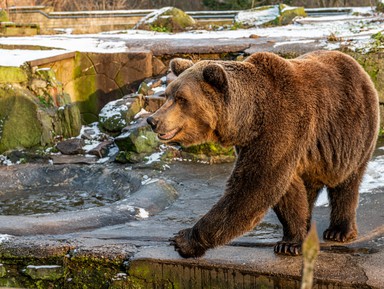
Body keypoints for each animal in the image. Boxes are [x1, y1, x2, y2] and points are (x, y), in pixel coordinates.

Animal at [146, 49, 378, 256]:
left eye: (182, 99)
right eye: (167, 95)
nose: (153, 120)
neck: (250, 117)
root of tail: (358, 66)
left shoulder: (281, 126)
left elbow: (254, 186)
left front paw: (183, 240)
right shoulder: (253, 142)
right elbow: (286, 190)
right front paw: (290, 241)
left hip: (352, 133)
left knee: (346, 182)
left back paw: (339, 231)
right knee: (310, 185)